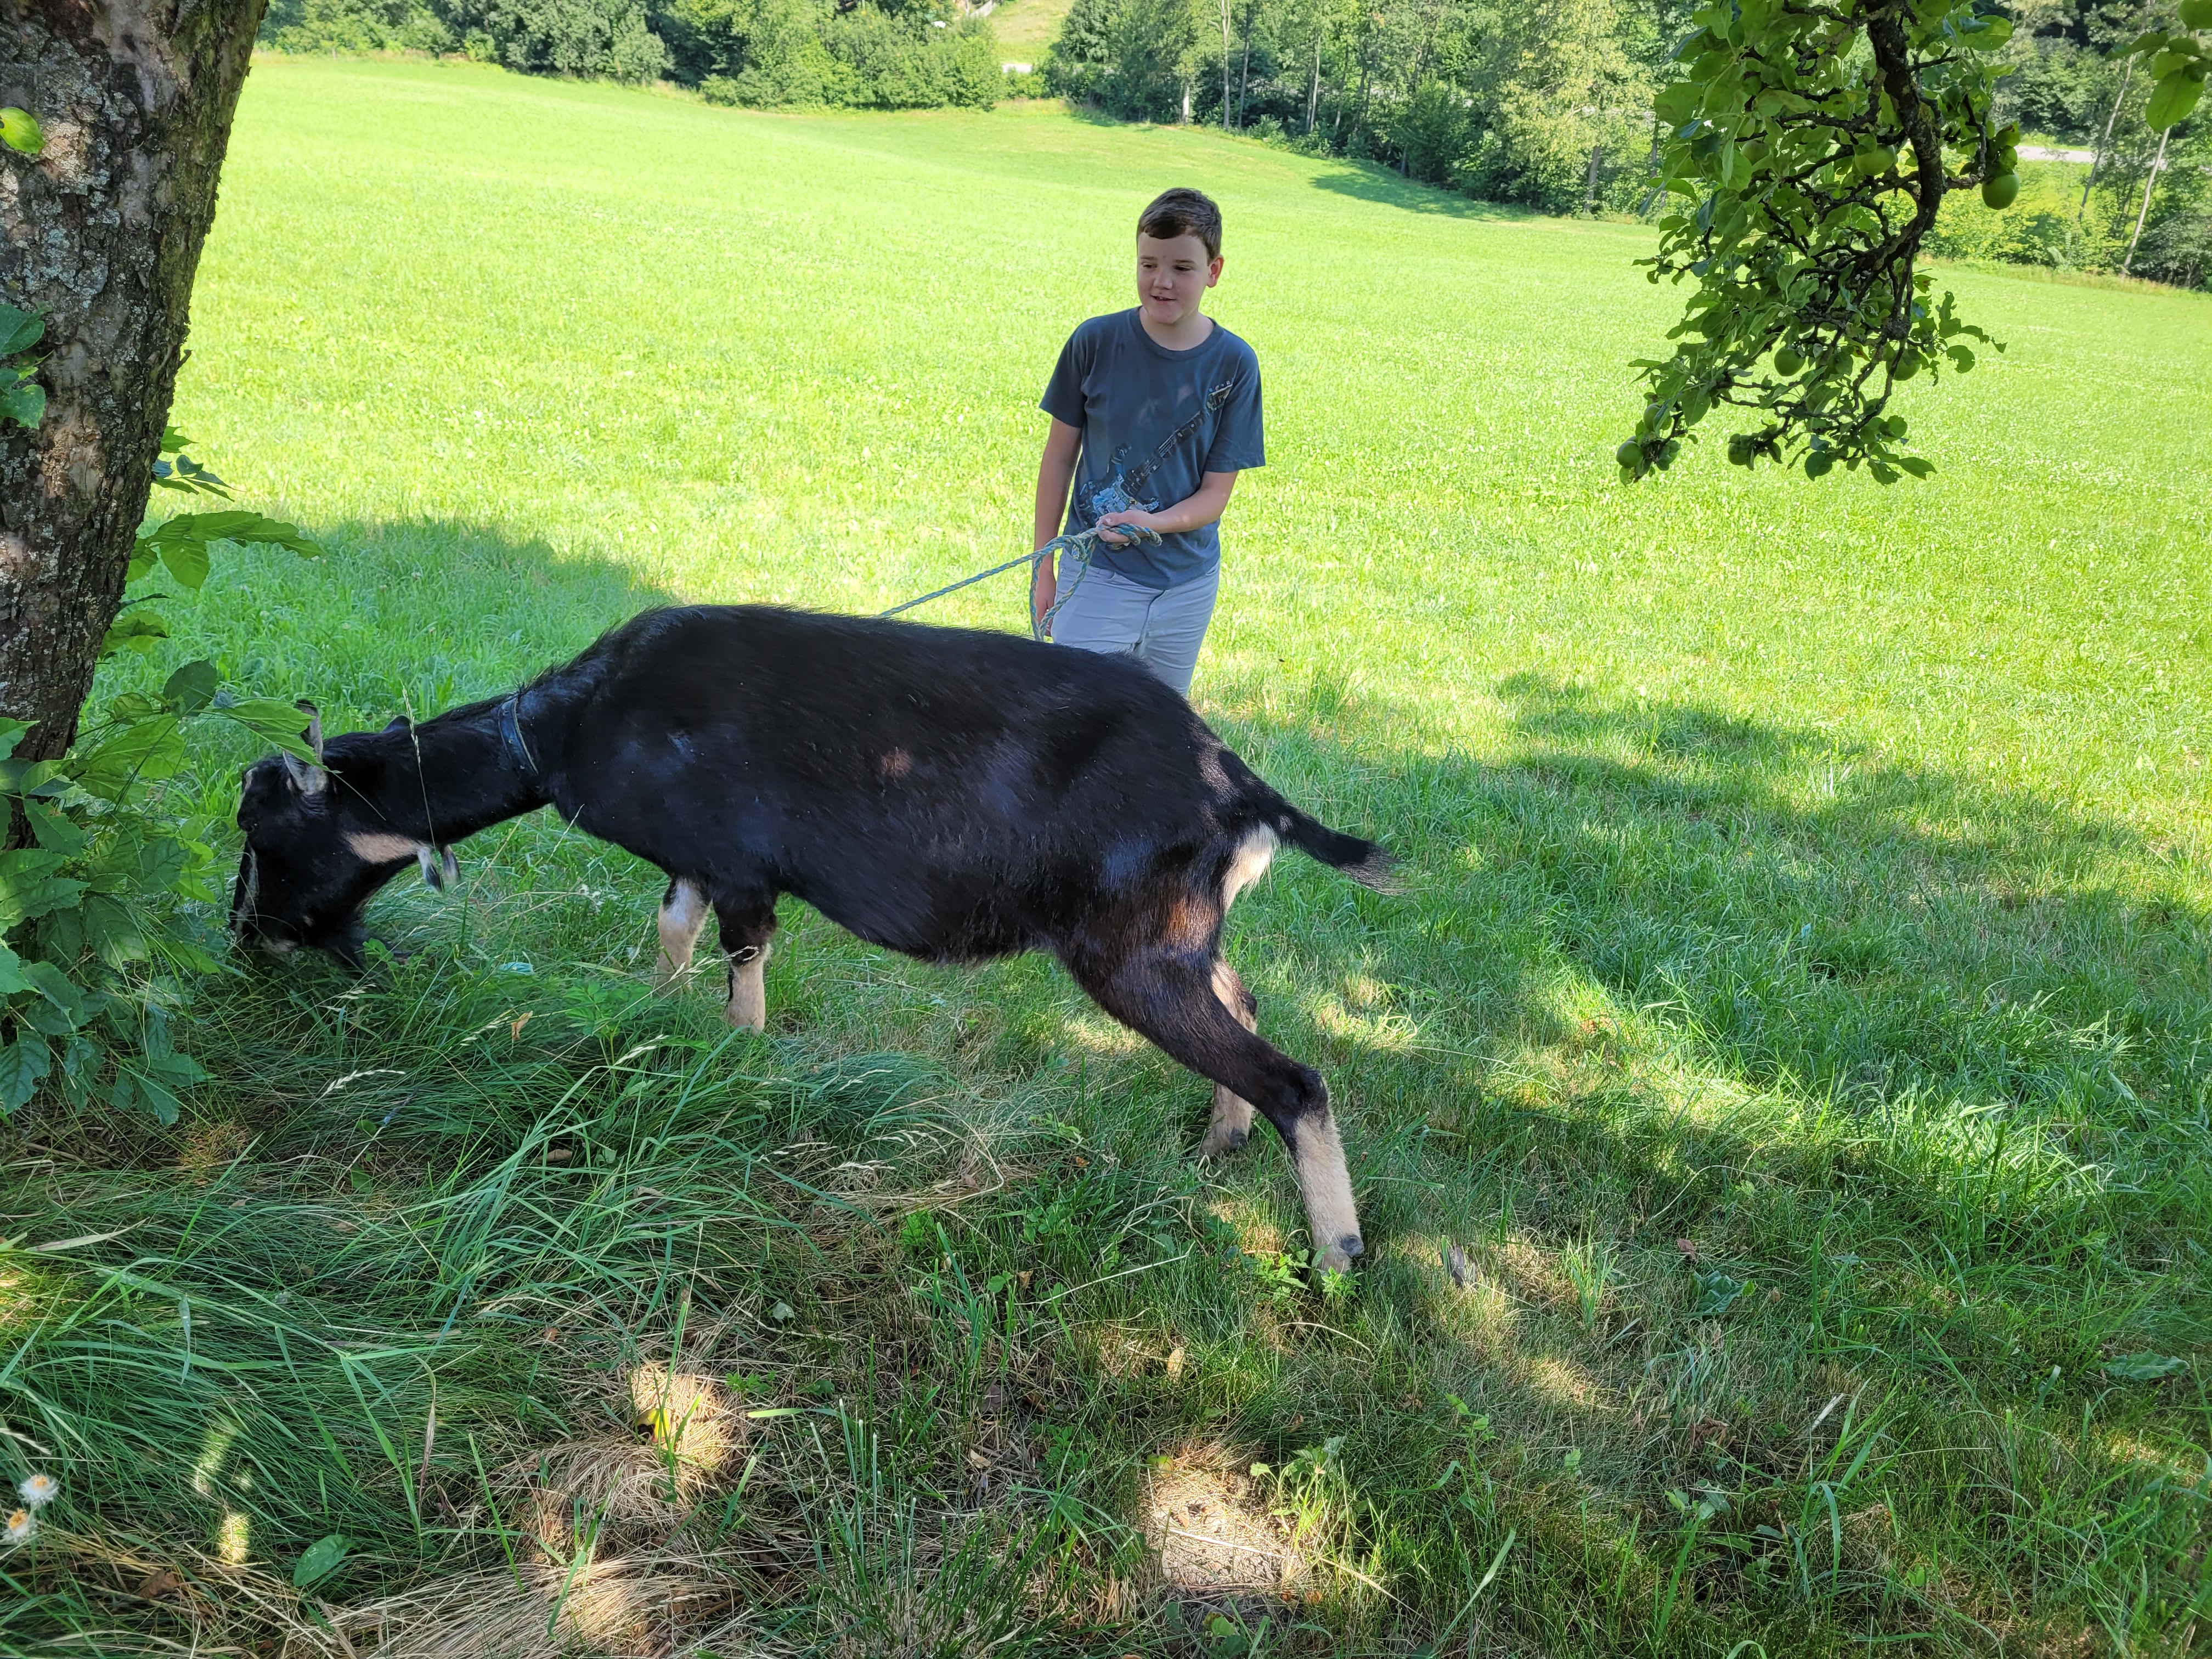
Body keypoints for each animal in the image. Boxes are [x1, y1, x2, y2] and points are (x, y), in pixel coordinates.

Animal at [231, 606, 1396, 1271]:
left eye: (260, 827)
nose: (246, 940)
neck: (570, 724)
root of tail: (1235, 783)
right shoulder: (694, 859)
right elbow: (671, 930)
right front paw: (651, 1024)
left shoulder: (743, 864)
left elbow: (743, 968)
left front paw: (737, 1076)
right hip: (1182, 934)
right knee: (1245, 1001)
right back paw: (1217, 1142)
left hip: (1131, 950)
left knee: (1296, 1077)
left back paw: (1336, 1252)